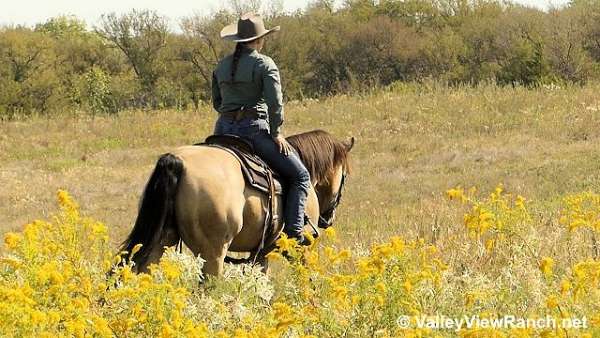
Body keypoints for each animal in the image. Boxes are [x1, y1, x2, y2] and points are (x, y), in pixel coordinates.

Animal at [119, 130, 354, 278]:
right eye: (344, 176)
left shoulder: (261, 254)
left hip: (162, 241)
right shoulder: (300, 248)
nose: (328, 219)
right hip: (213, 254)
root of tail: (178, 161)